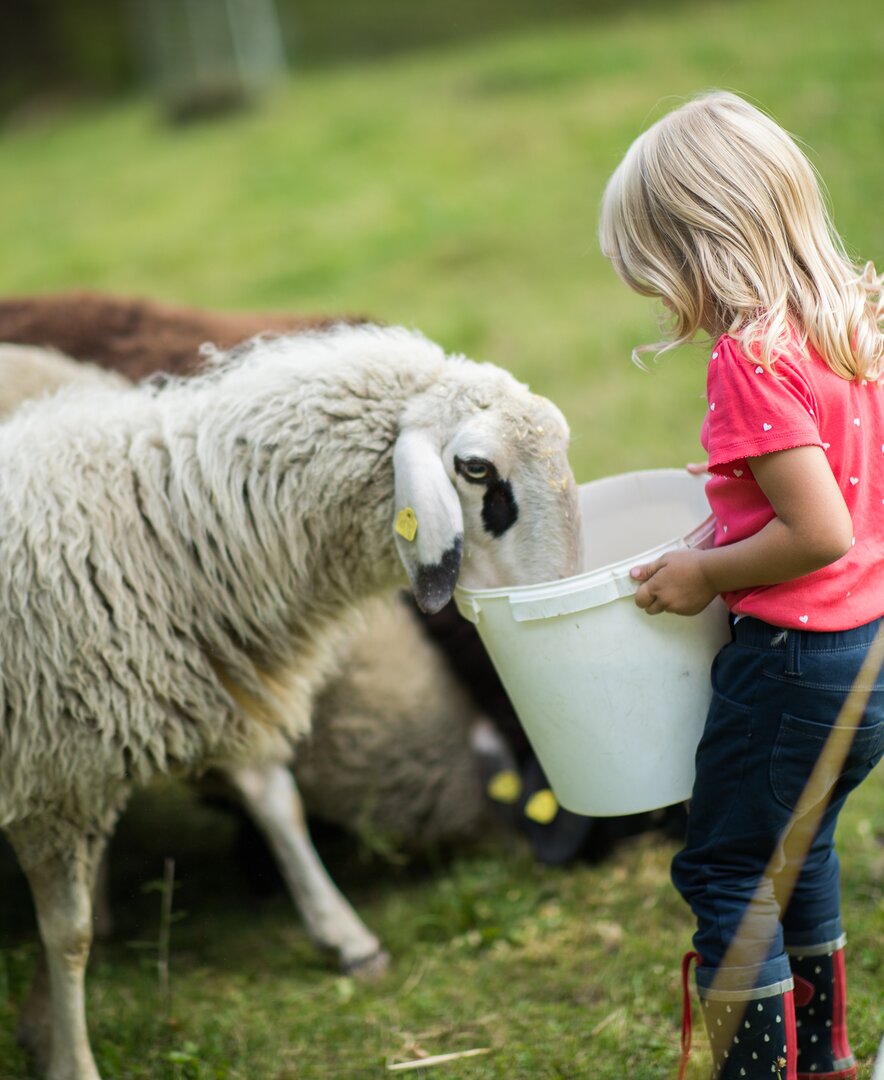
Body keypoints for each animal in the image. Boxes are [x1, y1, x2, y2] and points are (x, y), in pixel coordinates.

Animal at [0, 324, 582, 1075]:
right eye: (477, 469)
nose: (562, 600)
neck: (166, 528)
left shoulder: (207, 694)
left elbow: (277, 797)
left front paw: (346, 936)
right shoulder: (55, 773)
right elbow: (69, 933)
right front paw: (70, 1056)